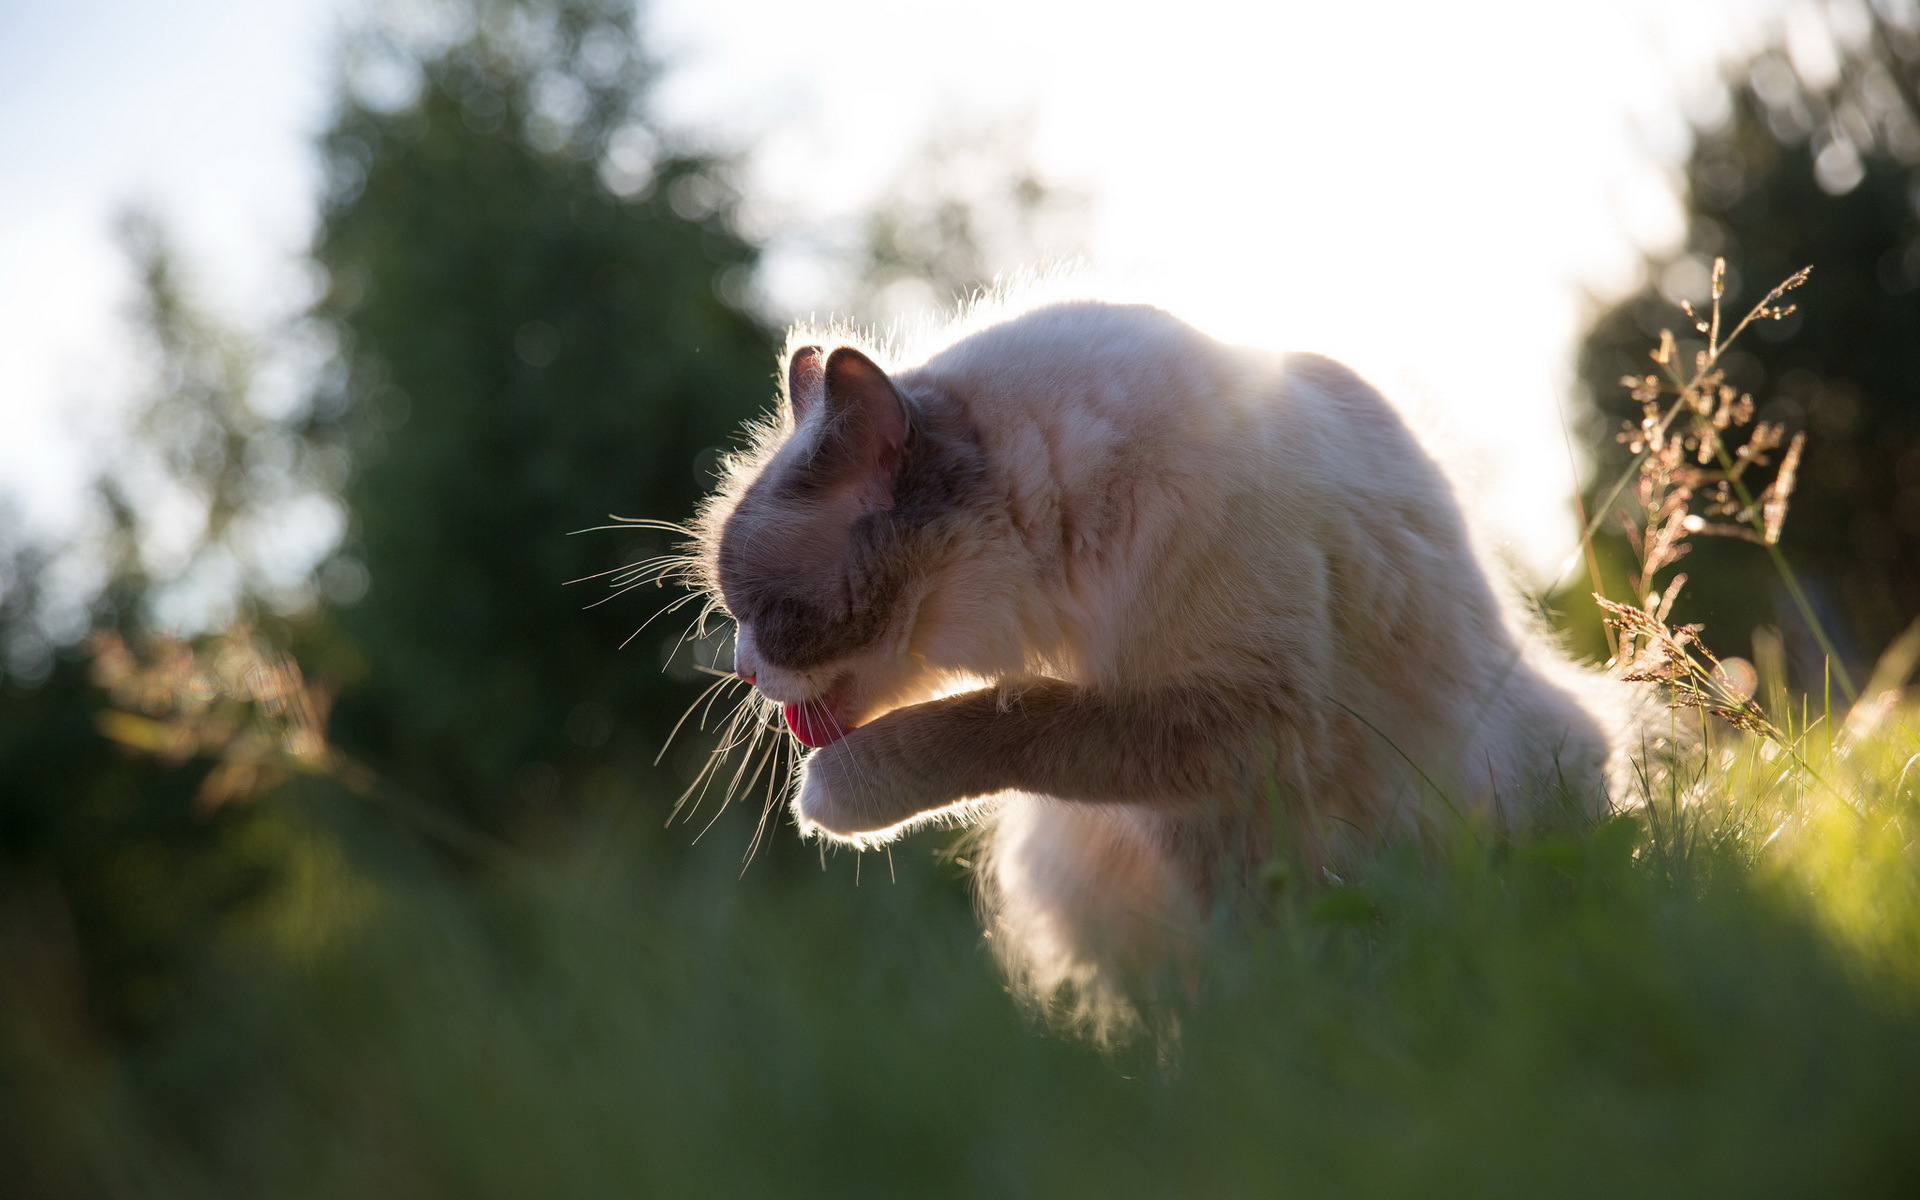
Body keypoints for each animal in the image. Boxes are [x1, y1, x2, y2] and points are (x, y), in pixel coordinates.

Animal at [691, 297, 1635, 1029]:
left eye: (768, 617)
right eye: (733, 618)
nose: (741, 670)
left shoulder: (1247, 721)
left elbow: (1011, 721)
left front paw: (831, 796)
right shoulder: (1189, 808)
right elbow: (1236, 944)